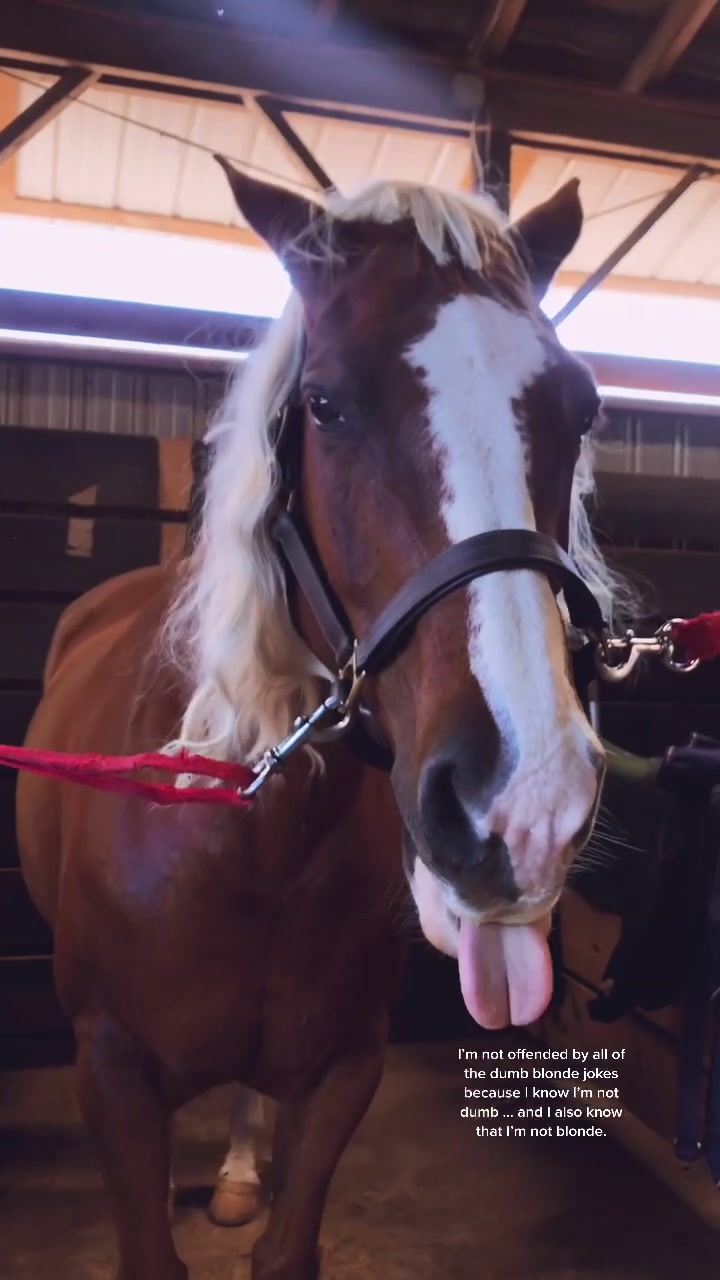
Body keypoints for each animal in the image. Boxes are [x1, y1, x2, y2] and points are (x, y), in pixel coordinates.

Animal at [16, 164, 621, 1280]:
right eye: (327, 404)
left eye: (583, 408)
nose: (524, 804)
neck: (251, 838)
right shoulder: (110, 1075)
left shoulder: (346, 1068)